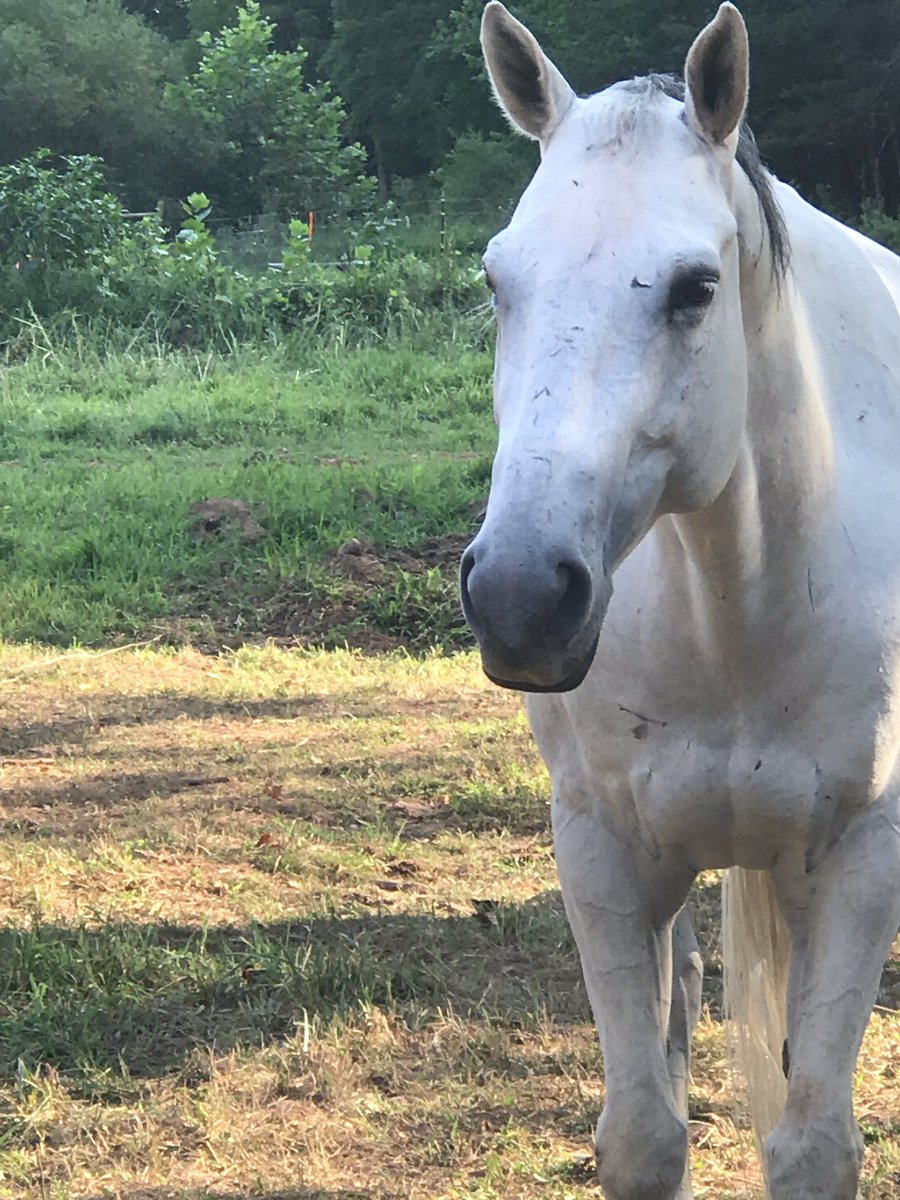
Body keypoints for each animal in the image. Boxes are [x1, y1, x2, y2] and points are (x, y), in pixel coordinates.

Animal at [459, 4, 900, 1198]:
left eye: (698, 286)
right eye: (496, 281)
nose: (521, 596)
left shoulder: (858, 862)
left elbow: (812, 1145)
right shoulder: (605, 855)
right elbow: (644, 1137)